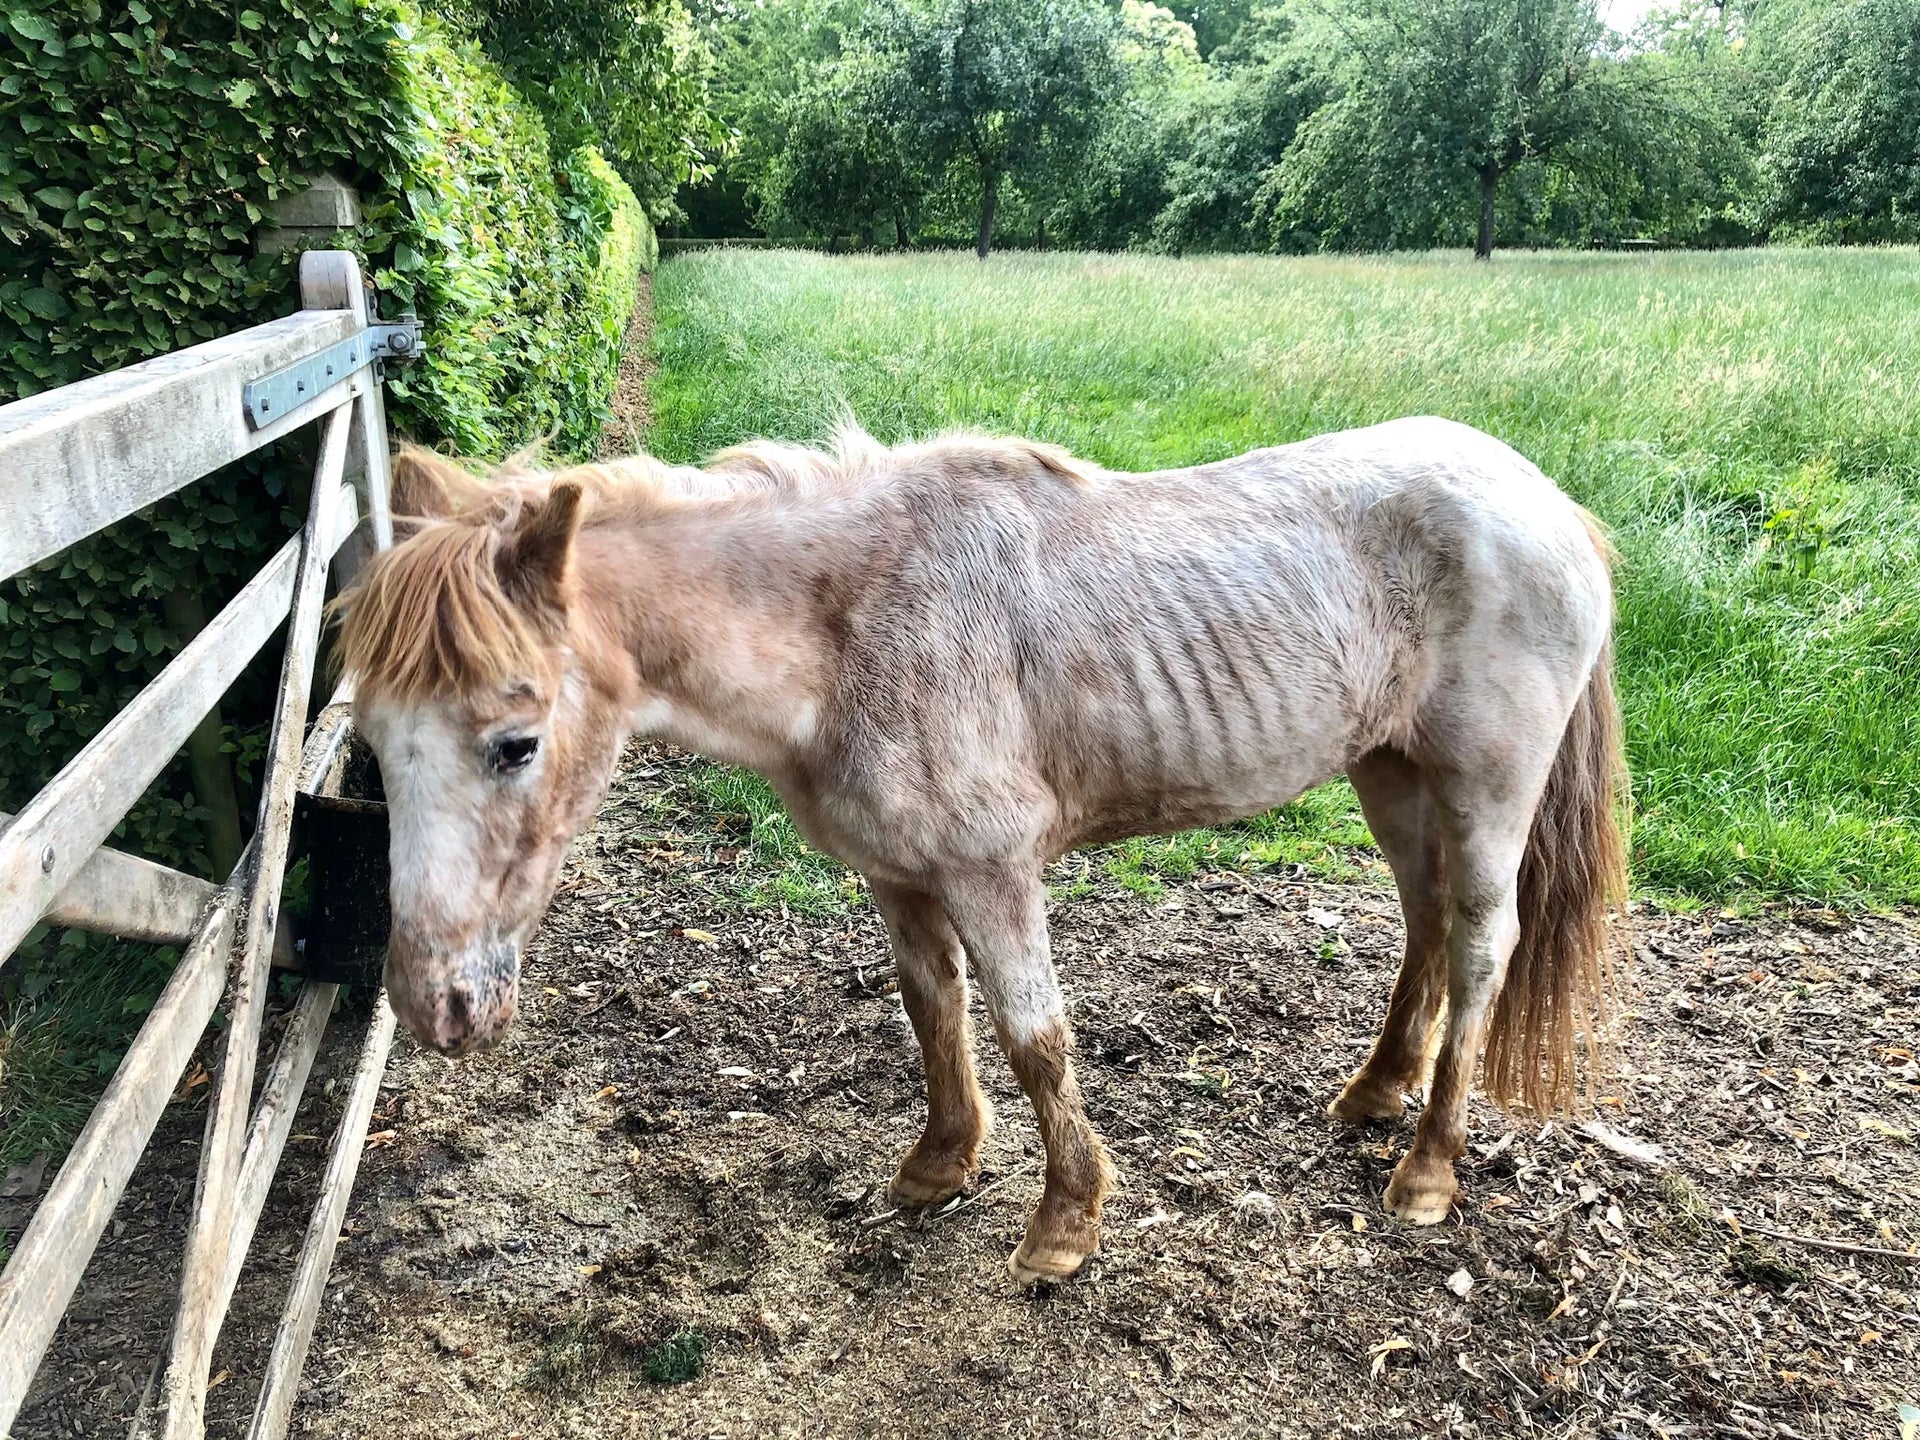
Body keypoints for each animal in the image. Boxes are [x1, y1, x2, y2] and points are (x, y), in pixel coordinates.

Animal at [334, 415, 1627, 1284]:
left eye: (514, 744)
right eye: (371, 740)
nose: (433, 1004)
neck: (848, 630)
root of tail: (1549, 502)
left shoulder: (992, 872)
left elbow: (1034, 1038)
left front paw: (1064, 1225)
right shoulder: (896, 873)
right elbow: (933, 1013)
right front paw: (938, 1167)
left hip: (1485, 789)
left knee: (1481, 944)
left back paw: (1429, 1170)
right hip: (1390, 771)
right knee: (1423, 923)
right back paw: (1372, 1093)